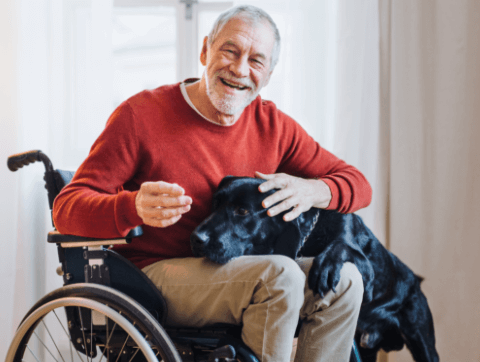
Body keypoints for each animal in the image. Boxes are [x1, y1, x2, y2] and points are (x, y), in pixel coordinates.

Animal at [191, 176, 438, 362]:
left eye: (242, 211)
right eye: (215, 204)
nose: (197, 238)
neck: (310, 236)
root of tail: (417, 281)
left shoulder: (366, 272)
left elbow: (339, 246)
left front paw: (324, 268)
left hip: (422, 341)